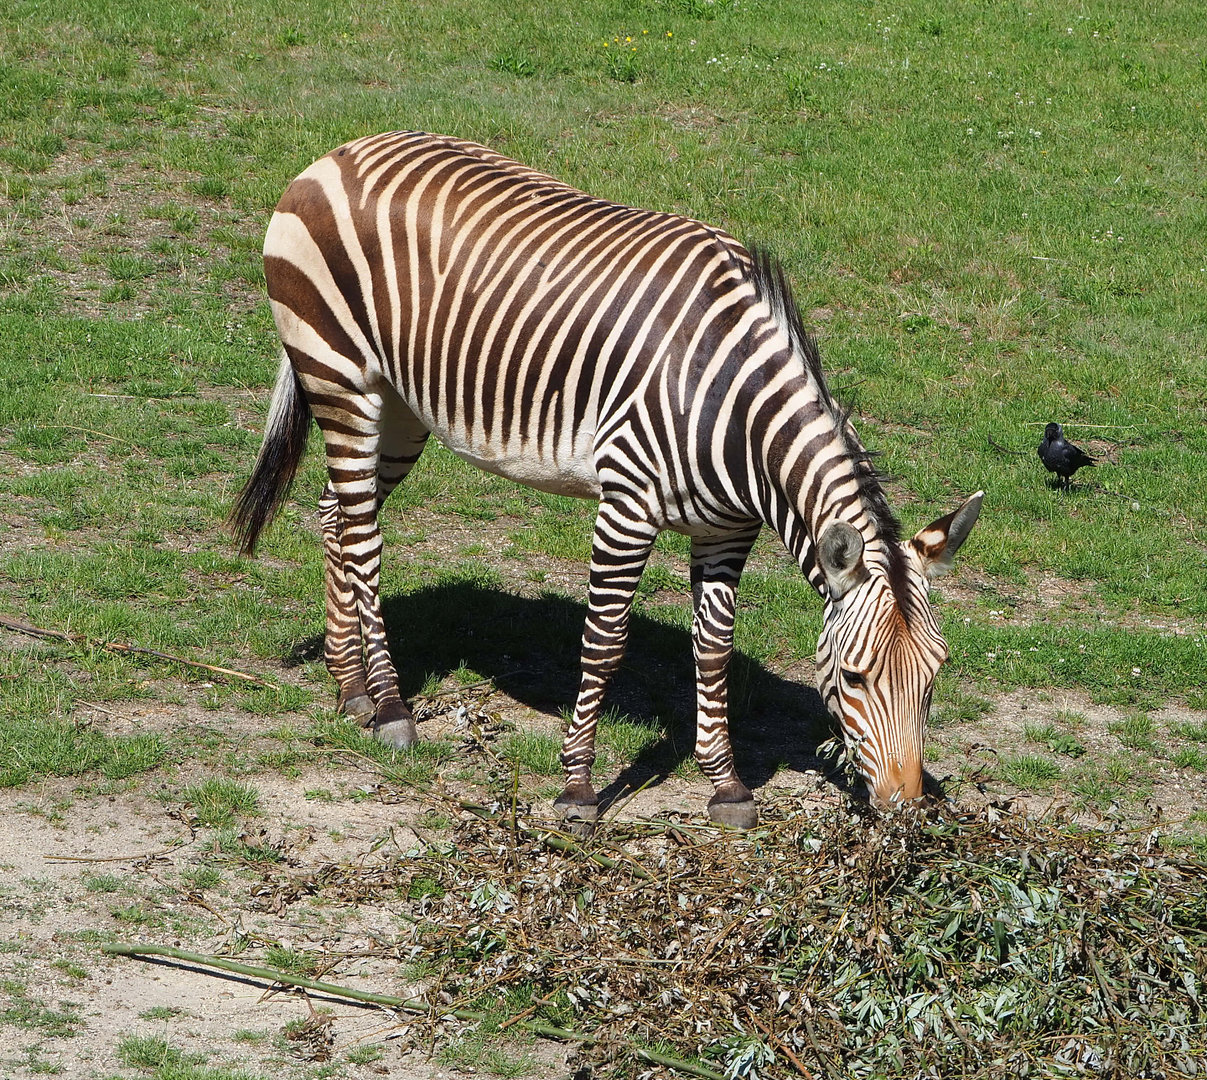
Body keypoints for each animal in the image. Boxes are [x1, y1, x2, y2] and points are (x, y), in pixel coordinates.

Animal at [231, 130, 983, 827]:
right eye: (855, 675)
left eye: (935, 674)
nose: (906, 806)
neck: (737, 413)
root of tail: (341, 151)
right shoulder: (627, 506)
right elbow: (603, 644)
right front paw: (577, 790)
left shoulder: (726, 529)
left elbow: (713, 651)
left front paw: (726, 785)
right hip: (340, 374)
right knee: (362, 538)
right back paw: (390, 708)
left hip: (399, 404)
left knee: (335, 512)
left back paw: (349, 688)